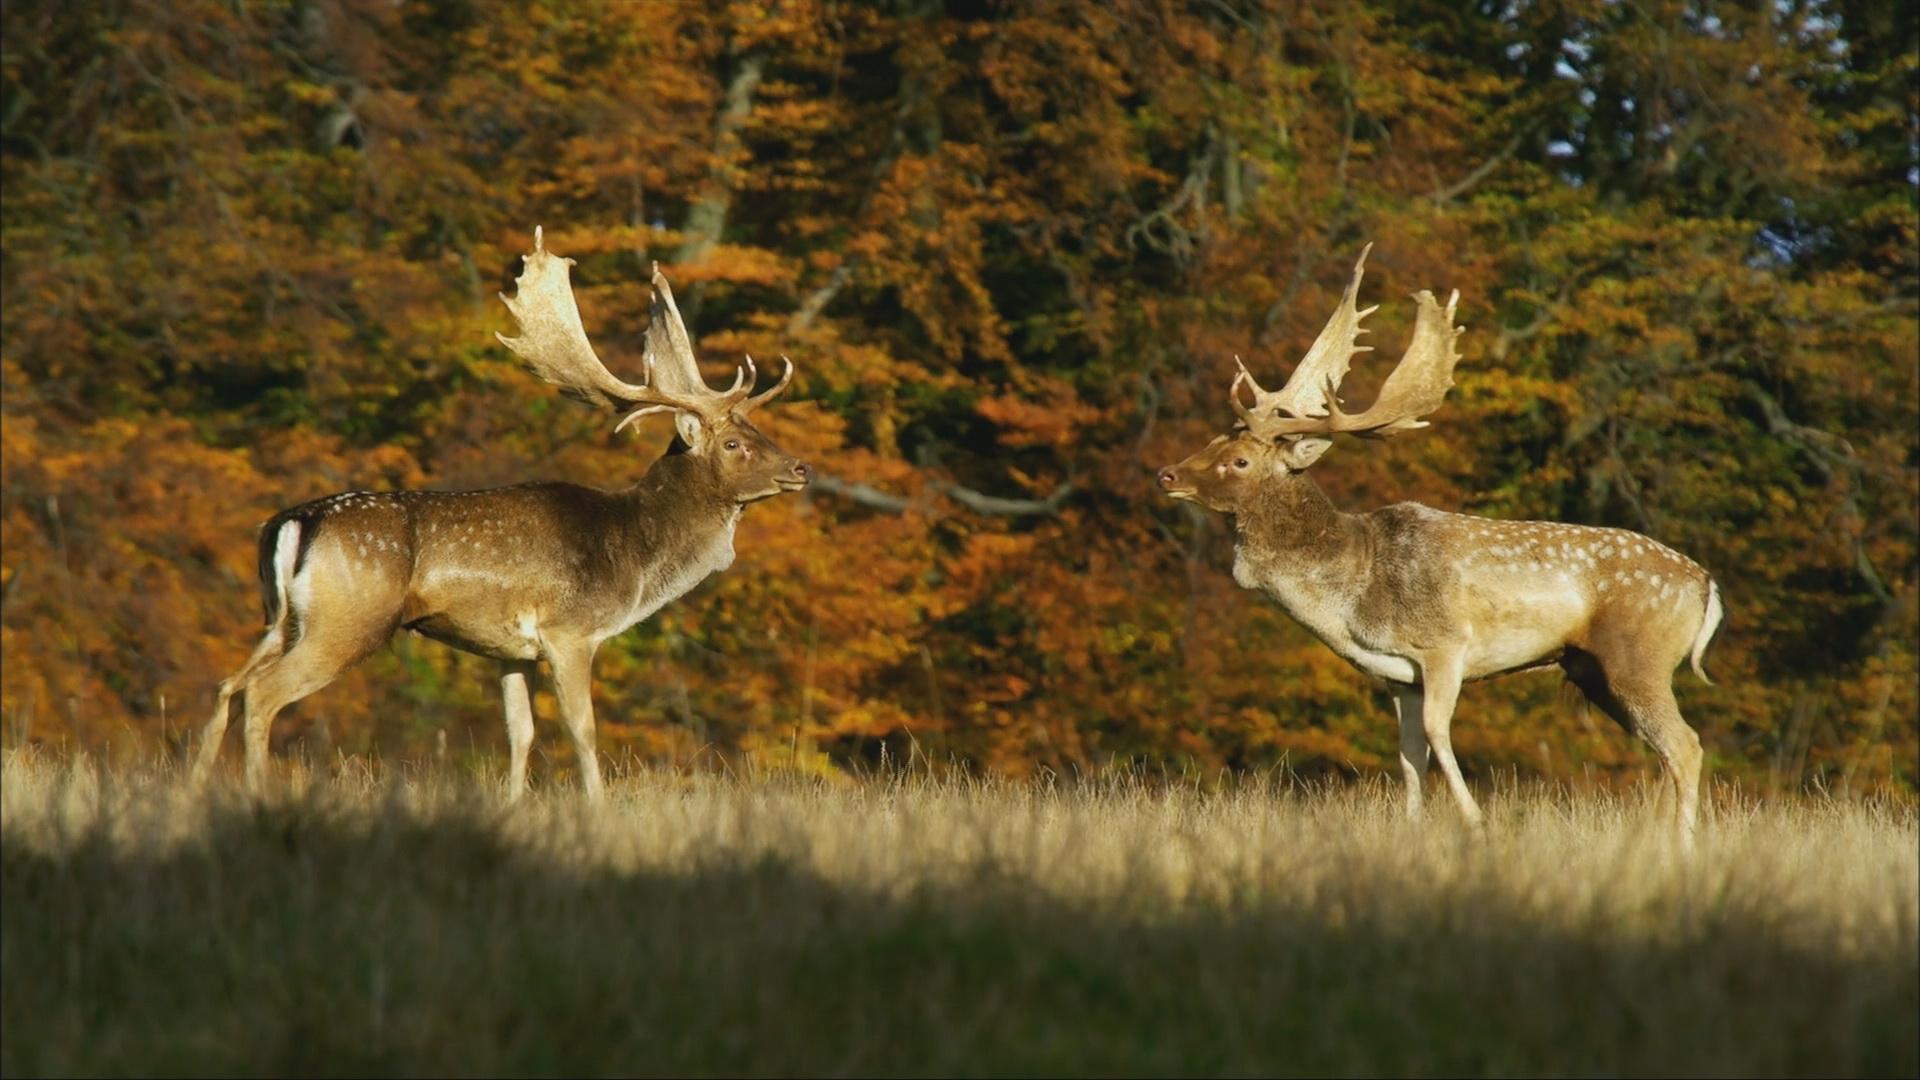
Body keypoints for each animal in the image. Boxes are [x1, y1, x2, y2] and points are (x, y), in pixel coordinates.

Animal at [198, 226, 814, 795]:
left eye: (756, 429)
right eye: (733, 444)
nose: (801, 468)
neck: (633, 560)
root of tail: (294, 524)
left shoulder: (511, 650)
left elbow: (521, 735)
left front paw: (514, 806)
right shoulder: (569, 632)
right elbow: (582, 732)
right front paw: (595, 806)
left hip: (282, 617)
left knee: (228, 685)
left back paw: (197, 786)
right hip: (348, 618)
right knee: (262, 693)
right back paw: (256, 790)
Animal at [1152, 247, 1728, 845]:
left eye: (1240, 460)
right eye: (1213, 441)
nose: (1166, 474)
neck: (1352, 593)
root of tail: (1707, 587)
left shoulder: (1446, 644)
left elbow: (1436, 733)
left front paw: (1475, 821)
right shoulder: (1395, 676)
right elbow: (1409, 755)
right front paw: (1412, 827)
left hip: (1640, 657)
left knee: (1685, 744)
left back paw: (1683, 844)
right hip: (1589, 669)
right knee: (1663, 747)